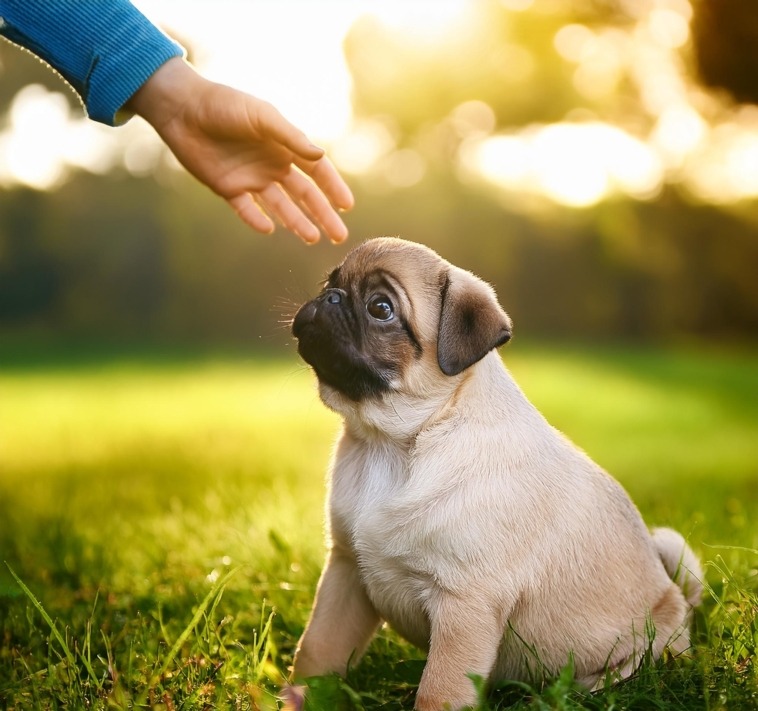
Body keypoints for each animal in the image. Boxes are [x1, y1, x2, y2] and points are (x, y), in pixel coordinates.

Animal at [290, 239, 700, 711]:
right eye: (330, 282)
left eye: (380, 308)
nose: (330, 298)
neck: (395, 443)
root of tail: (682, 607)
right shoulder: (345, 570)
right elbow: (318, 648)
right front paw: (293, 698)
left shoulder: (465, 605)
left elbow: (439, 691)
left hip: (641, 651)